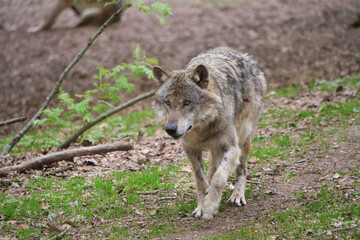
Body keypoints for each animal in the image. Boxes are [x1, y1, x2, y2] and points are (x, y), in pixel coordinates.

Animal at [153, 46, 266, 219]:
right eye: (168, 103)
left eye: (187, 102)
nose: (170, 129)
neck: (202, 129)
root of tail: (242, 54)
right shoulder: (191, 149)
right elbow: (201, 180)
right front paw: (202, 206)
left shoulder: (231, 147)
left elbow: (219, 178)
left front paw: (210, 207)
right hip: (216, 149)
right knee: (213, 169)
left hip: (243, 140)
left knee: (241, 169)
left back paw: (238, 196)